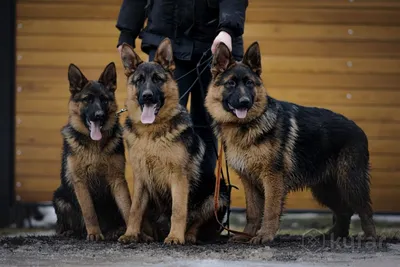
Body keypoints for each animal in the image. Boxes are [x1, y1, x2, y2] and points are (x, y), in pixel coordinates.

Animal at [52, 63, 131, 243]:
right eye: (87, 99)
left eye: (104, 99)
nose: (99, 115)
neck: (95, 146)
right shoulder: (80, 182)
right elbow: (89, 211)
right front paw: (94, 233)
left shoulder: (117, 179)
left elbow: (127, 207)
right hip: (60, 198)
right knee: (64, 226)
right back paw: (70, 232)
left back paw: (115, 230)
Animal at [117, 38, 227, 246]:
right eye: (139, 80)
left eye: (157, 79)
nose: (147, 96)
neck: (151, 134)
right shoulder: (141, 178)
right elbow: (135, 209)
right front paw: (131, 233)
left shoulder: (178, 178)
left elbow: (178, 210)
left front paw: (175, 236)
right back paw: (147, 235)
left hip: (217, 196)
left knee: (197, 223)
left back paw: (188, 236)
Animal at [205, 41, 376, 245]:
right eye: (230, 83)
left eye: (249, 83)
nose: (245, 102)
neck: (246, 126)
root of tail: (358, 128)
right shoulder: (249, 181)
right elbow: (253, 212)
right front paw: (247, 234)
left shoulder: (272, 178)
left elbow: (270, 210)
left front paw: (264, 235)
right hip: (324, 188)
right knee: (345, 211)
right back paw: (334, 235)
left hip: (349, 183)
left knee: (364, 209)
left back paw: (369, 236)